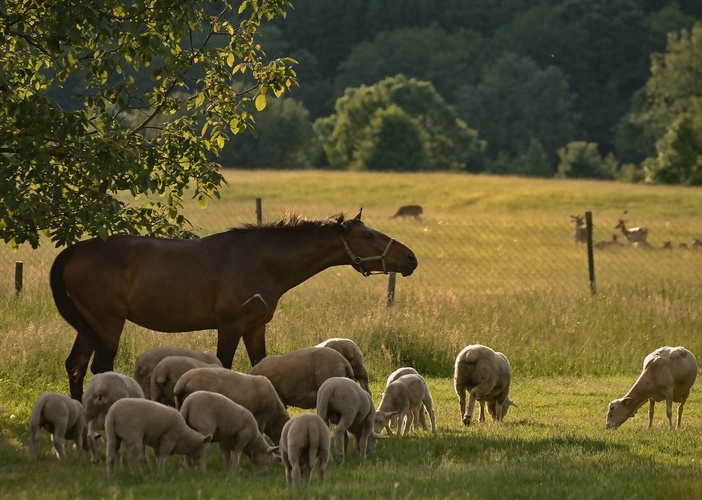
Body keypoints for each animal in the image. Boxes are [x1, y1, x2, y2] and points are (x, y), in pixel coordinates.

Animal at [52, 209, 420, 400]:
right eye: (369, 235)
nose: (411, 258)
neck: (262, 260)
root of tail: (74, 250)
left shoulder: (254, 327)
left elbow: (262, 365)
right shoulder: (229, 326)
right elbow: (224, 366)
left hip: (90, 326)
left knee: (75, 366)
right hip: (108, 324)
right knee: (99, 367)